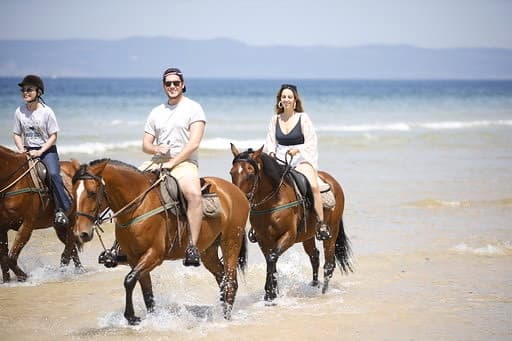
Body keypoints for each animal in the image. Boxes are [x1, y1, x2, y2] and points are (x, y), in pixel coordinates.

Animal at [0, 144, 81, 282]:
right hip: (59, 227)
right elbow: (4, 259)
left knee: (69, 248)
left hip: (72, 220)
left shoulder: (27, 224)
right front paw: (7, 281)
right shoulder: (1, 229)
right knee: (72, 249)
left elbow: (11, 258)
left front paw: (24, 276)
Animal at [71, 158, 249, 322]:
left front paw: (131, 317)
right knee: (221, 279)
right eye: (73, 194)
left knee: (230, 281)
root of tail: (236, 191)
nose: (81, 233)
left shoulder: (154, 255)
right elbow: (146, 292)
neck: (139, 206)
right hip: (208, 251)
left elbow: (129, 280)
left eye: (92, 193)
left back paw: (225, 317)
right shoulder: (135, 259)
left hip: (230, 242)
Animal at [229, 143, 352, 300]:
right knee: (314, 256)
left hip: (332, 231)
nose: (239, 199)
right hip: (308, 236)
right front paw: (271, 292)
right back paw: (314, 285)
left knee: (329, 264)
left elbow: (272, 258)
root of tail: (333, 181)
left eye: (251, 172)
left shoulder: (288, 236)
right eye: (232, 172)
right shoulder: (264, 239)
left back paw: (323, 293)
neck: (273, 202)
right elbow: (270, 260)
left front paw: (271, 293)